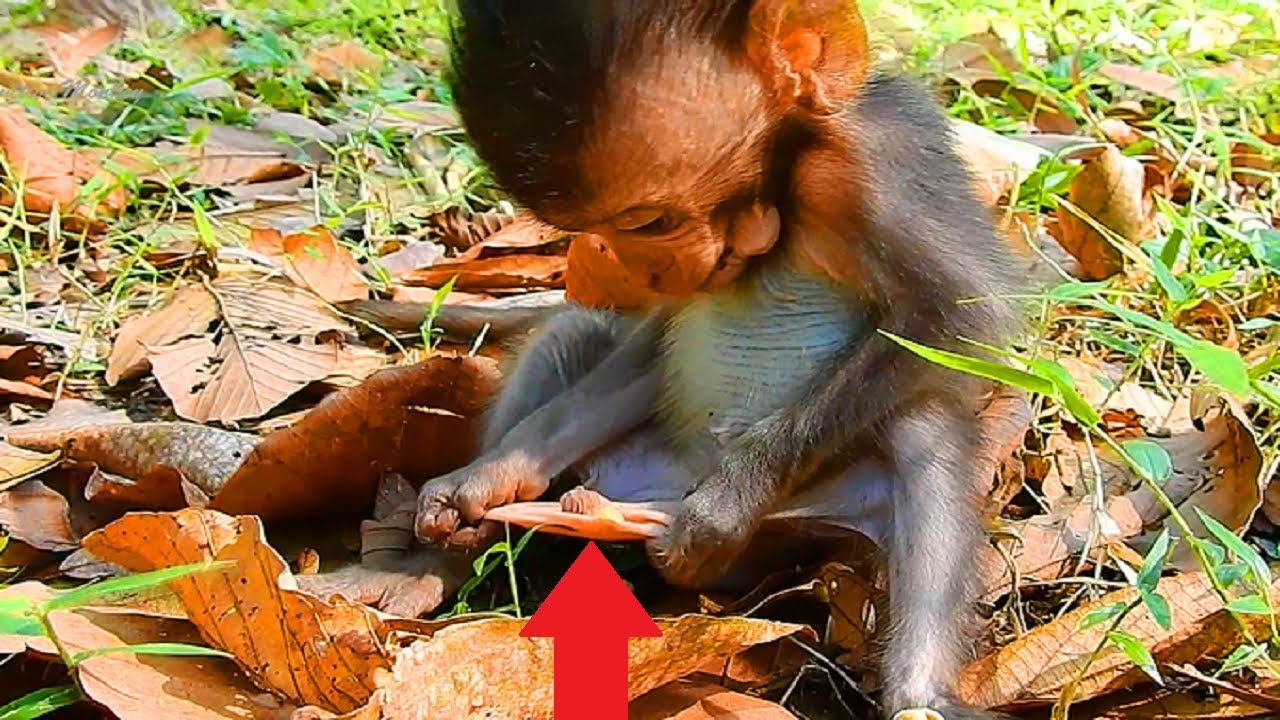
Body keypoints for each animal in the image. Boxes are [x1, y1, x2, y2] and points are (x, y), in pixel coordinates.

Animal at [311, 2, 1022, 718]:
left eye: (650, 222)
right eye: (597, 230)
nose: (642, 272)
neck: (786, 189)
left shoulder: (874, 167)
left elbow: (955, 316)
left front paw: (721, 510)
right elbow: (654, 344)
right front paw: (482, 483)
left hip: (795, 534)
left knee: (924, 431)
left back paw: (920, 693)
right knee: (567, 336)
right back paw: (441, 562)